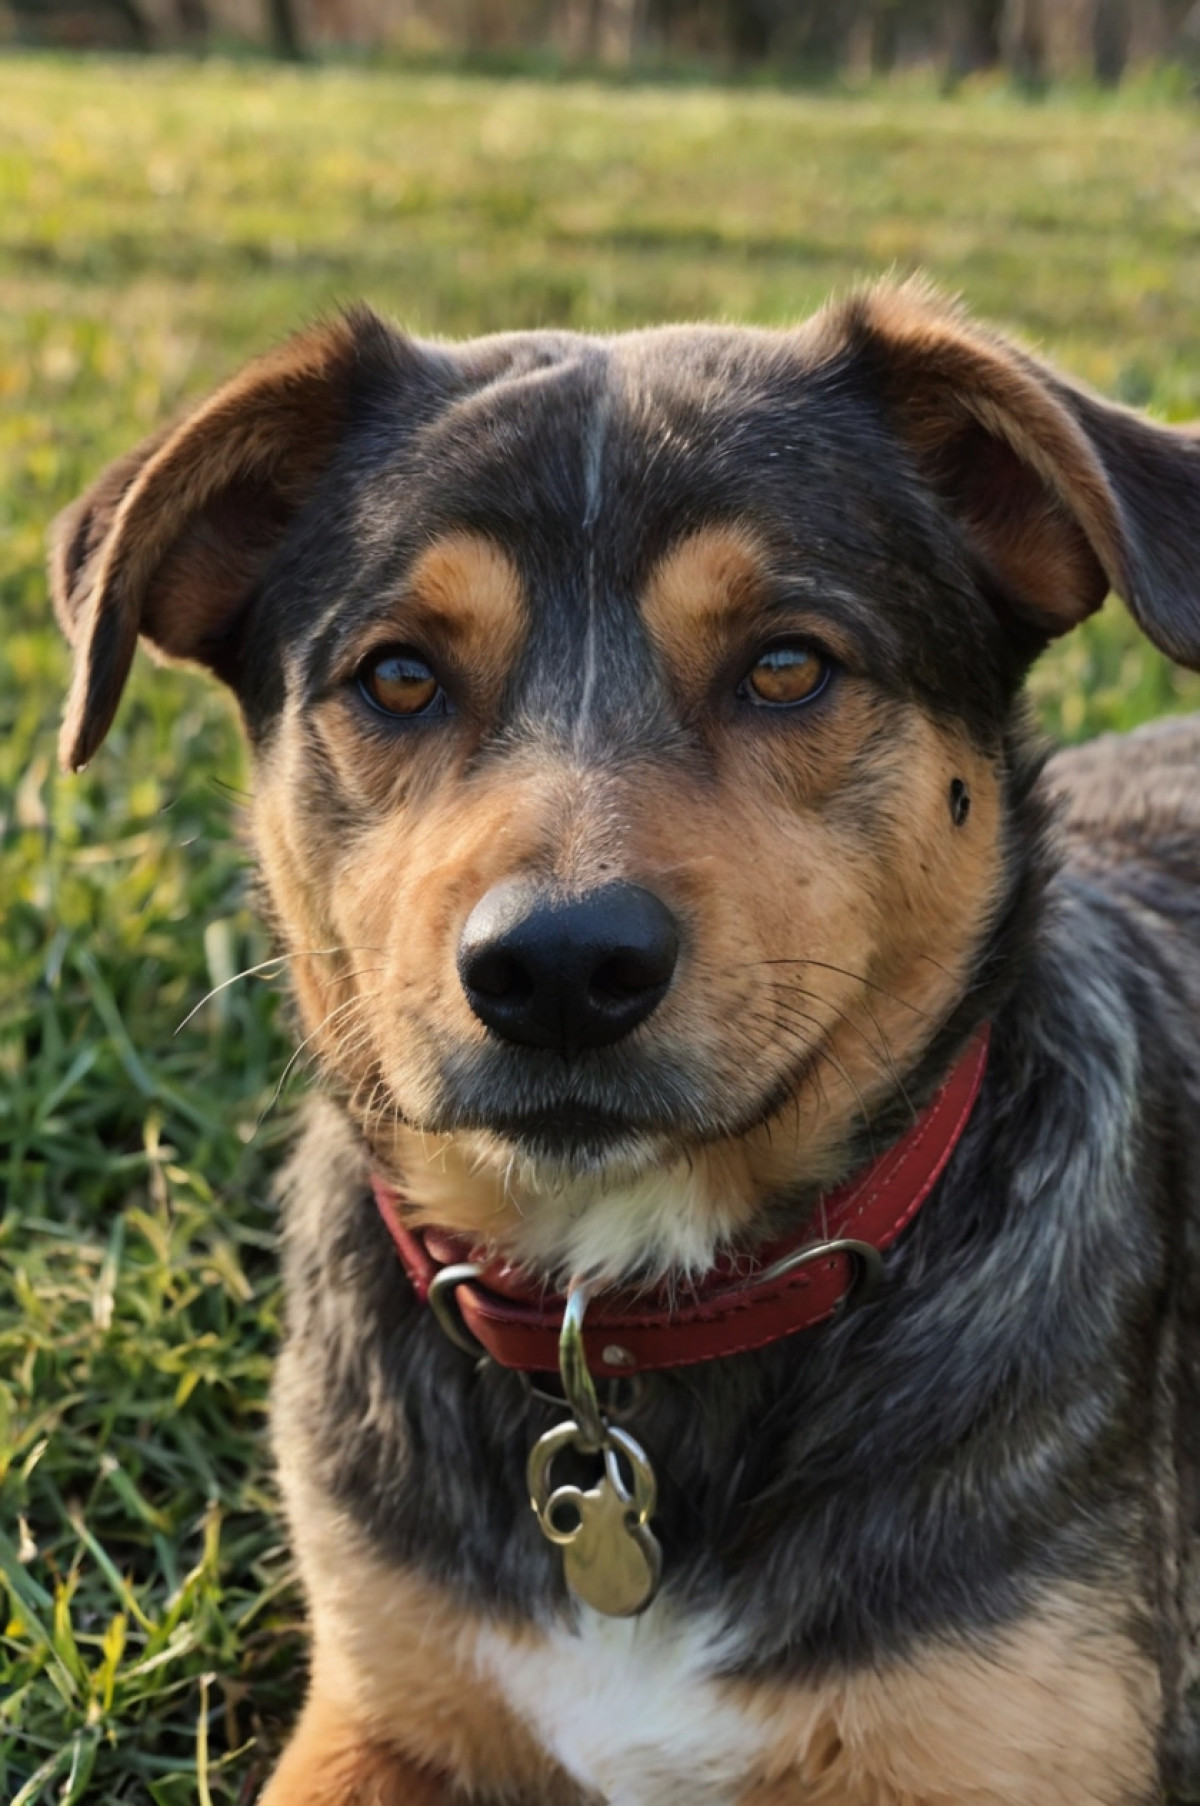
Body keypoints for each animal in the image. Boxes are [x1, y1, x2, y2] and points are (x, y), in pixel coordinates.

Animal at [46, 285, 1200, 1806]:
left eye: (787, 664)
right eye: (398, 675)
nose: (556, 968)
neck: (623, 1308)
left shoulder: (1004, 1747)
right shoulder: (374, 1706)